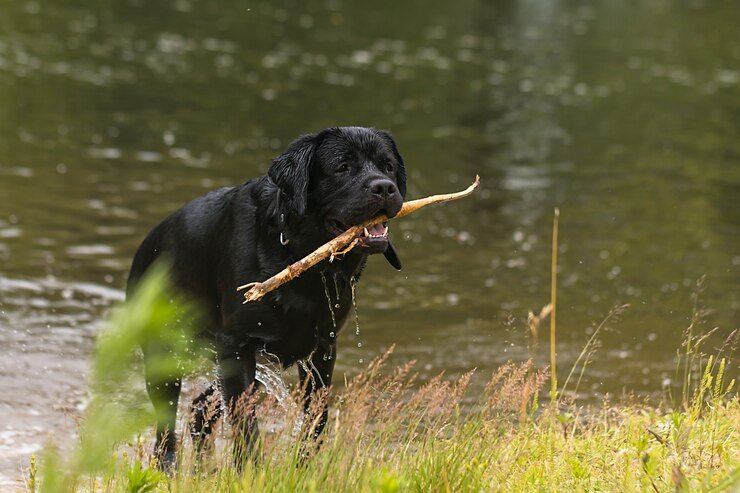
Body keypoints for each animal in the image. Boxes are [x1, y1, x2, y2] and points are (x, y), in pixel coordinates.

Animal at [125, 125, 404, 468]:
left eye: (388, 166)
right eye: (342, 167)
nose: (385, 187)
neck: (299, 257)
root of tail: (145, 248)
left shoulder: (322, 348)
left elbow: (316, 419)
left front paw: (303, 468)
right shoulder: (236, 344)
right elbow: (245, 422)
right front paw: (250, 471)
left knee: (199, 409)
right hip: (163, 355)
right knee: (166, 427)